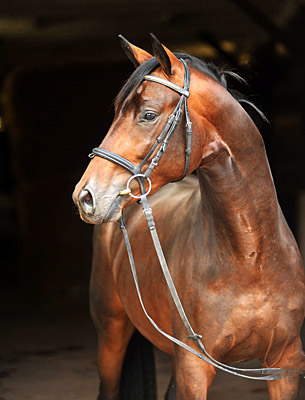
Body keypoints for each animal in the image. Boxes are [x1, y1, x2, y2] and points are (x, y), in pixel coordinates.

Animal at [73, 35, 304, 400]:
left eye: (148, 114)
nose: (85, 195)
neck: (251, 256)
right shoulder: (194, 367)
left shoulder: (285, 366)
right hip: (111, 334)